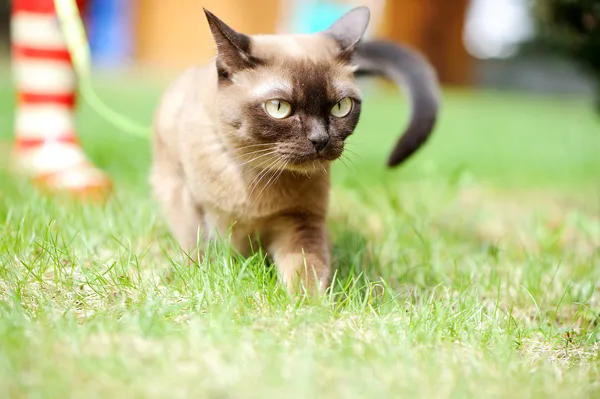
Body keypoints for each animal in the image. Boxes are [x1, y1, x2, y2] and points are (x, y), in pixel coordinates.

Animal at [150, 5, 440, 294]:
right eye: (279, 108)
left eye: (341, 107)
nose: (320, 139)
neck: (256, 182)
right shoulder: (185, 198)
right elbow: (196, 250)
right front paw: (190, 281)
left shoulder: (301, 221)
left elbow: (306, 272)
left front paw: (307, 303)